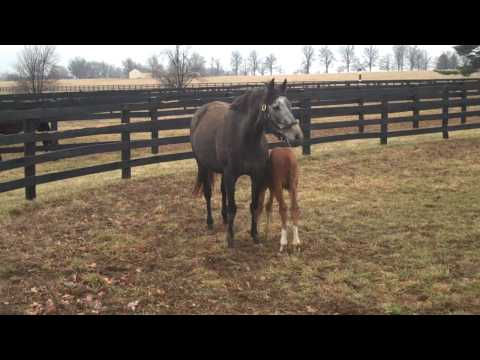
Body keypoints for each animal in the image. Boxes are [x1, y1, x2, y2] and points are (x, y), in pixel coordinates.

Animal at [189, 78, 302, 248]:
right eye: (276, 107)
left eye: (289, 105)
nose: (297, 135)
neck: (244, 138)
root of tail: (200, 112)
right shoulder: (231, 175)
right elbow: (232, 208)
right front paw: (230, 238)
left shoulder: (256, 175)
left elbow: (254, 206)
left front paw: (255, 235)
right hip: (202, 165)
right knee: (208, 193)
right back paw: (210, 222)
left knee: (223, 192)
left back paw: (224, 219)